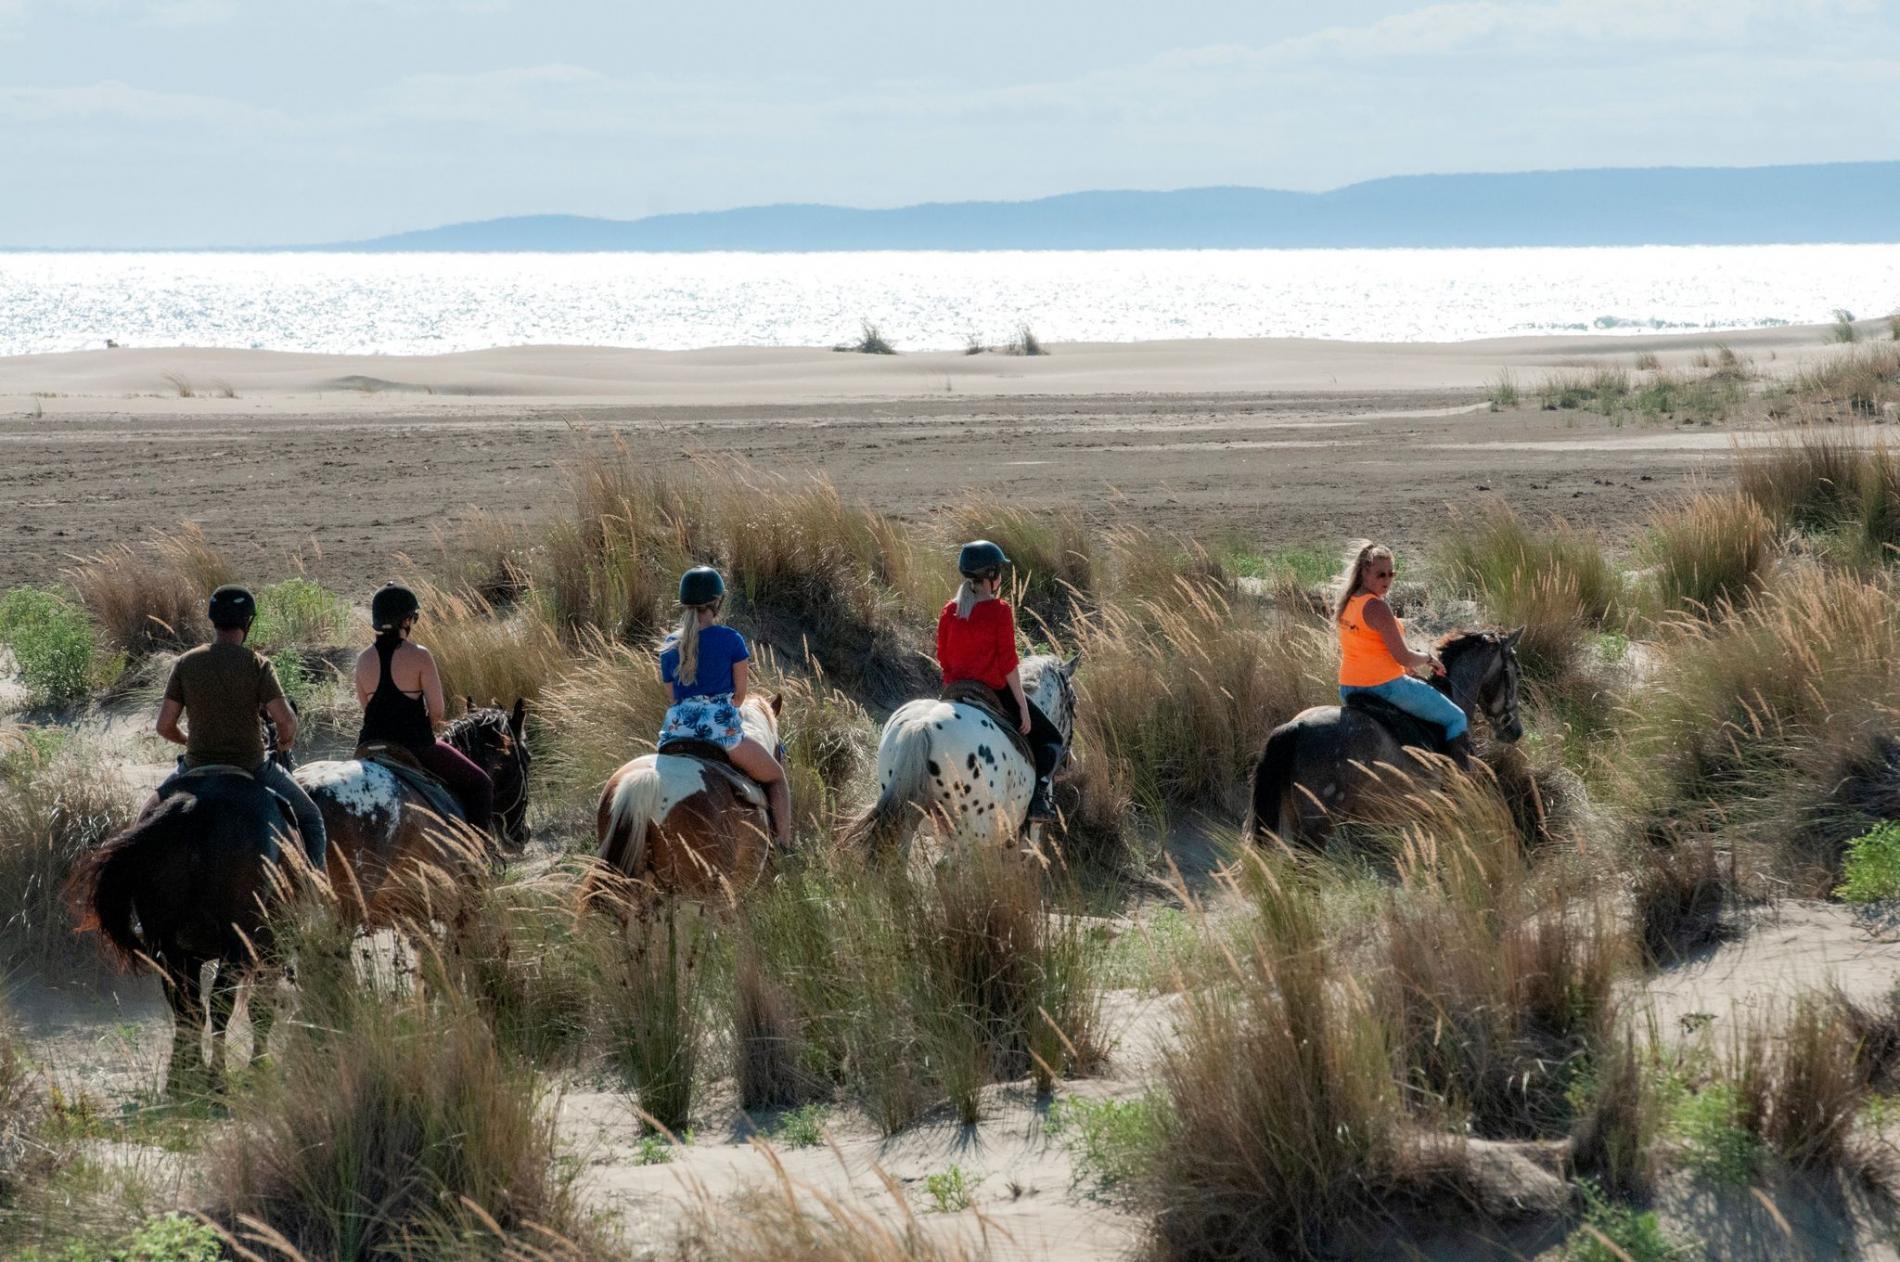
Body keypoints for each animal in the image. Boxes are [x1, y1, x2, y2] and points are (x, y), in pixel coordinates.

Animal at [68, 767, 304, 1094]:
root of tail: (191, 808)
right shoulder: (268, 950)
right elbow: (259, 1009)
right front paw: (258, 1068)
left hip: (170, 949)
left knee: (187, 1007)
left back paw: (182, 1080)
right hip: (235, 949)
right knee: (218, 1007)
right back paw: (216, 1080)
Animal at [851, 650, 1086, 859]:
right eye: (1073, 702)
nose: (1070, 762)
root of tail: (922, 726)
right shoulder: (1025, 837)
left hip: (911, 817)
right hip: (970, 831)